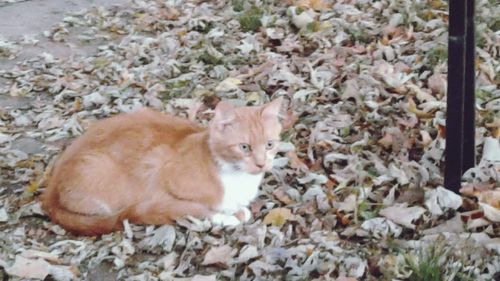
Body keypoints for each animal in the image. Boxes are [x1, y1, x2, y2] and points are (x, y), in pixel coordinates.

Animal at [41, 98, 284, 234]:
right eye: (244, 147)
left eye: (270, 144)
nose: (261, 164)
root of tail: (49, 192)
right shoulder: (158, 177)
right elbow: (193, 209)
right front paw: (228, 217)